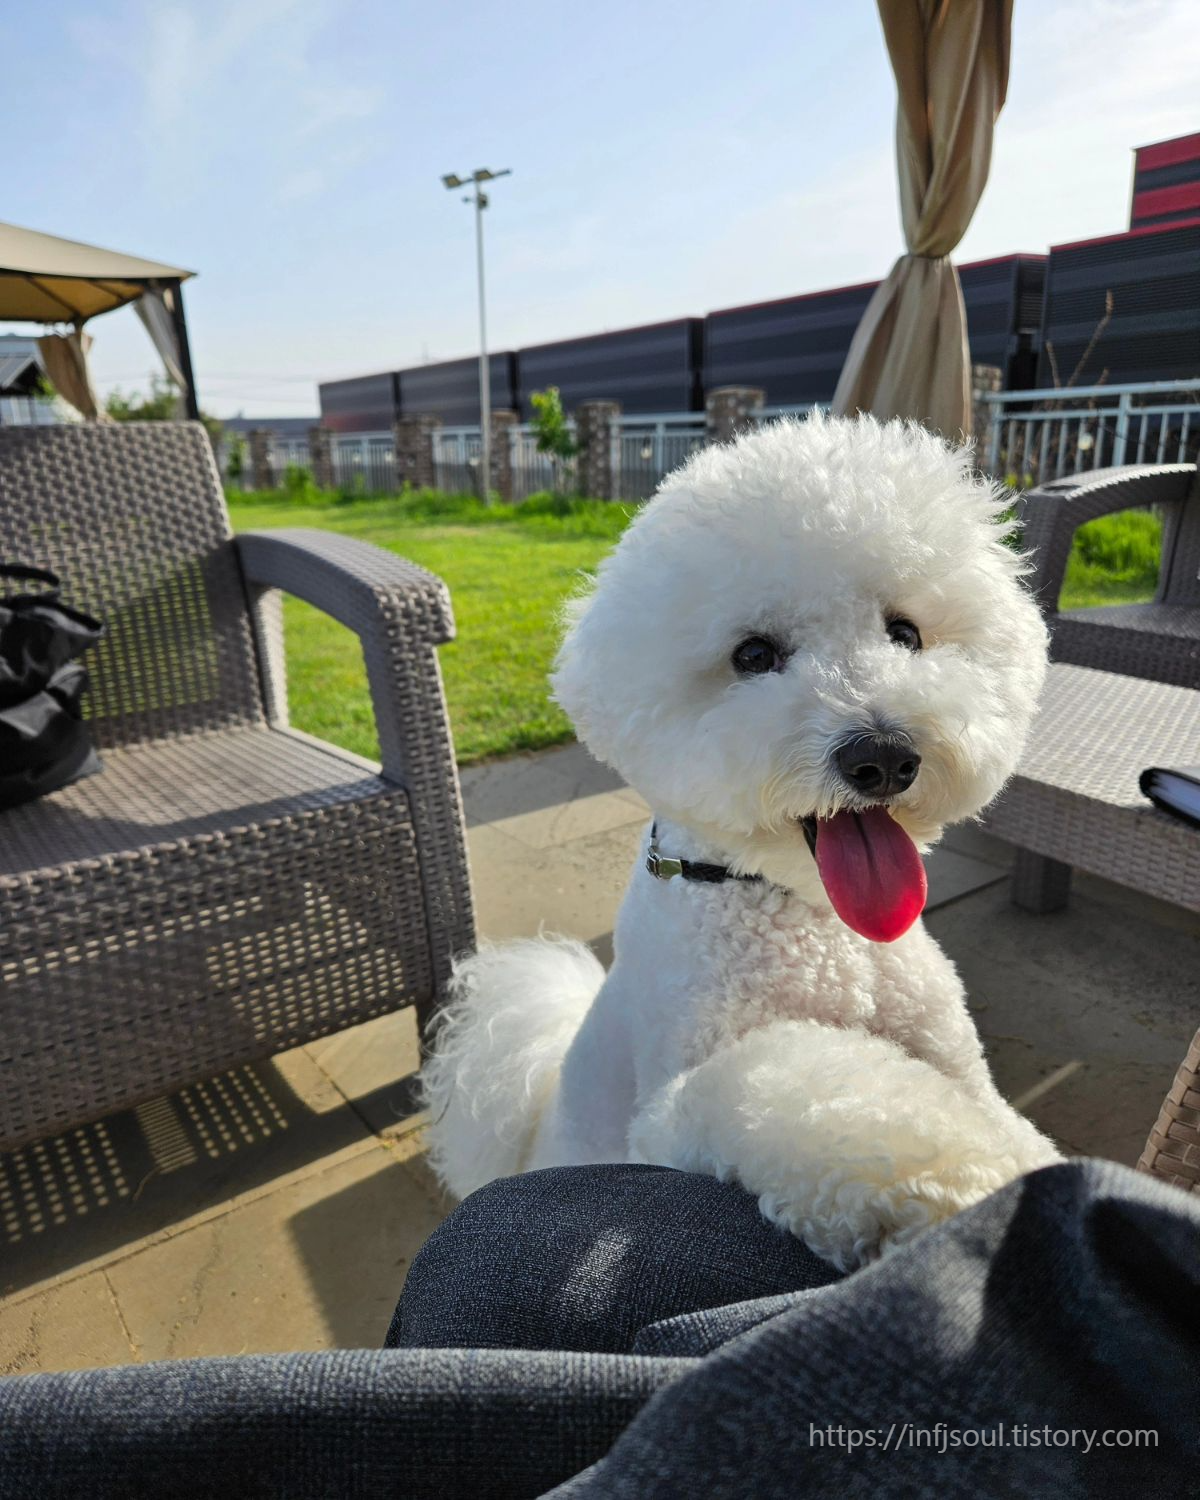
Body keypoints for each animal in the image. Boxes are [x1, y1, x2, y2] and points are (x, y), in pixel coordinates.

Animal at [421, 412, 1061, 1271]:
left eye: (905, 633)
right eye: (753, 655)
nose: (884, 756)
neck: (808, 917)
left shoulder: (952, 1053)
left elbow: (1000, 1114)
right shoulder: (683, 1100)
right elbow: (817, 1093)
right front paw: (961, 1177)